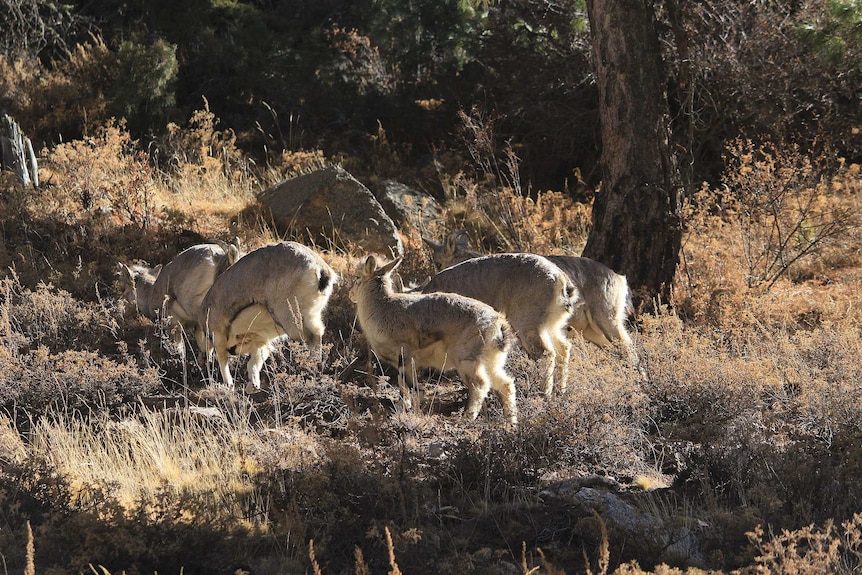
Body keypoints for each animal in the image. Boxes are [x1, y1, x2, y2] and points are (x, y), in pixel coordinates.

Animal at [199, 241, 338, 394]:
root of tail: (320, 270)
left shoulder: (218, 334)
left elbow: (223, 359)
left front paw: (229, 384)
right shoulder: (261, 341)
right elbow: (253, 362)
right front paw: (253, 386)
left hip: (290, 320)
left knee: (313, 336)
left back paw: (311, 364)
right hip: (309, 315)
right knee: (318, 331)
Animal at [352, 254, 520, 426]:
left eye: (357, 277)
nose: (351, 294)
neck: (382, 307)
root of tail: (498, 323)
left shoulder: (405, 357)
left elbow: (411, 386)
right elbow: (403, 384)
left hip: (467, 361)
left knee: (480, 385)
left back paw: (467, 417)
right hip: (491, 362)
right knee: (505, 384)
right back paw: (511, 422)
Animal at [420, 252, 580, 396]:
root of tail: (561, 279)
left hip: (528, 326)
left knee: (546, 354)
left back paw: (544, 393)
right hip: (551, 327)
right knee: (563, 348)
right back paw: (560, 390)